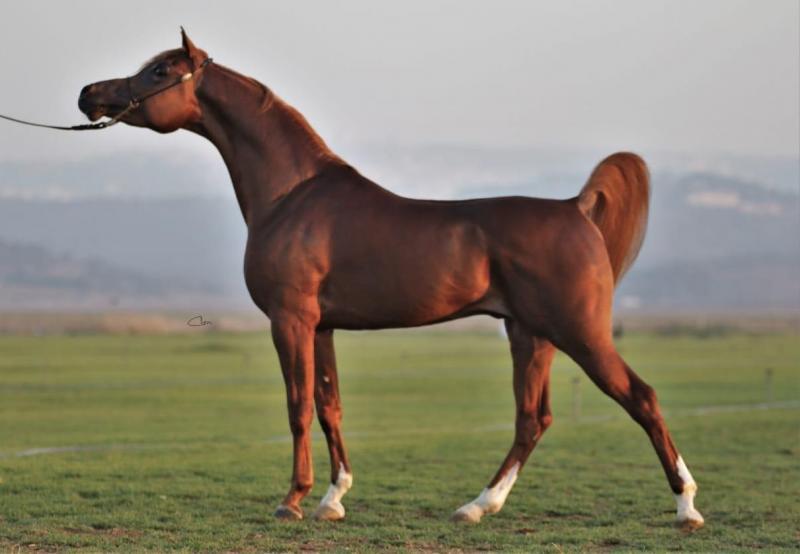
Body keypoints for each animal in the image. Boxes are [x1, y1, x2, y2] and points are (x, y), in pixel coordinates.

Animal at [77, 29, 704, 528]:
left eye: (160, 71)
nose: (89, 95)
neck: (292, 196)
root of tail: (576, 208)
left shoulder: (291, 320)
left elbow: (297, 405)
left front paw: (292, 500)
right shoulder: (322, 326)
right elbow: (329, 405)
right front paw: (333, 499)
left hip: (579, 333)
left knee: (641, 398)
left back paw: (686, 507)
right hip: (531, 335)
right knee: (533, 419)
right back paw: (477, 506)